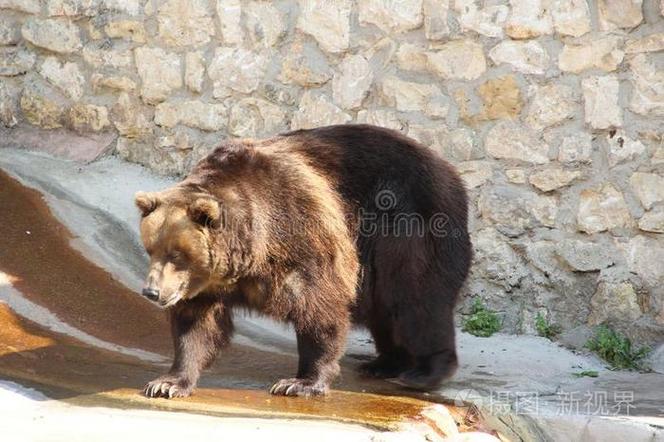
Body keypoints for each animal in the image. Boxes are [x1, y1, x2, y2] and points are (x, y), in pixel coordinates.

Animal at [135, 124, 472, 398]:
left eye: (177, 254)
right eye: (151, 249)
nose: (152, 292)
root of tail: (448, 170)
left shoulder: (301, 235)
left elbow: (319, 307)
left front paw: (300, 382)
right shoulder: (207, 283)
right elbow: (197, 325)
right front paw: (168, 382)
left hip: (407, 226)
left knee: (416, 301)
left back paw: (424, 371)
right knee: (387, 311)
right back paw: (383, 363)